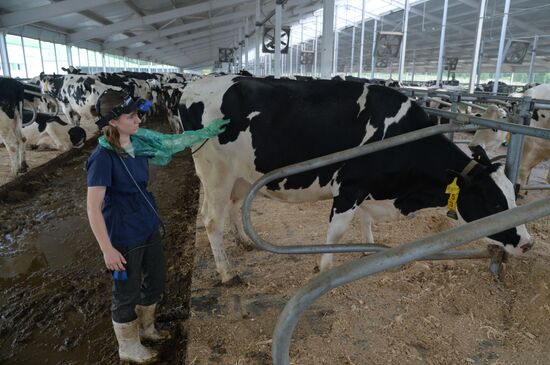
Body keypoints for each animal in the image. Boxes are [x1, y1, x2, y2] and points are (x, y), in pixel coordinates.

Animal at [179, 76, 532, 282]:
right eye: (494, 202)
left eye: (514, 195)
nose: (527, 244)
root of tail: (194, 85)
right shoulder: (350, 188)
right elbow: (336, 232)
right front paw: (323, 270)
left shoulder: (368, 189)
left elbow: (366, 221)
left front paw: (368, 248)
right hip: (215, 174)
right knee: (211, 220)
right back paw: (226, 272)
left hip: (239, 176)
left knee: (233, 206)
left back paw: (243, 241)